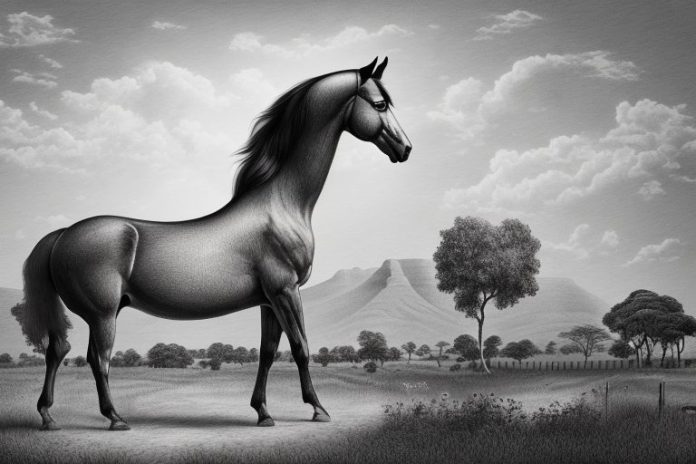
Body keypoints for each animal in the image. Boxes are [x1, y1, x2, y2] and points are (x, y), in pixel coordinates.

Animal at [18, 57, 412, 431]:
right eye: (379, 104)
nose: (405, 148)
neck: (280, 204)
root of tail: (63, 234)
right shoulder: (286, 290)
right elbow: (301, 348)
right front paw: (318, 409)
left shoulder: (269, 300)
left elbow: (268, 352)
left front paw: (263, 412)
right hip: (102, 315)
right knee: (97, 359)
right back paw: (115, 418)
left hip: (99, 314)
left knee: (57, 350)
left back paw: (48, 416)